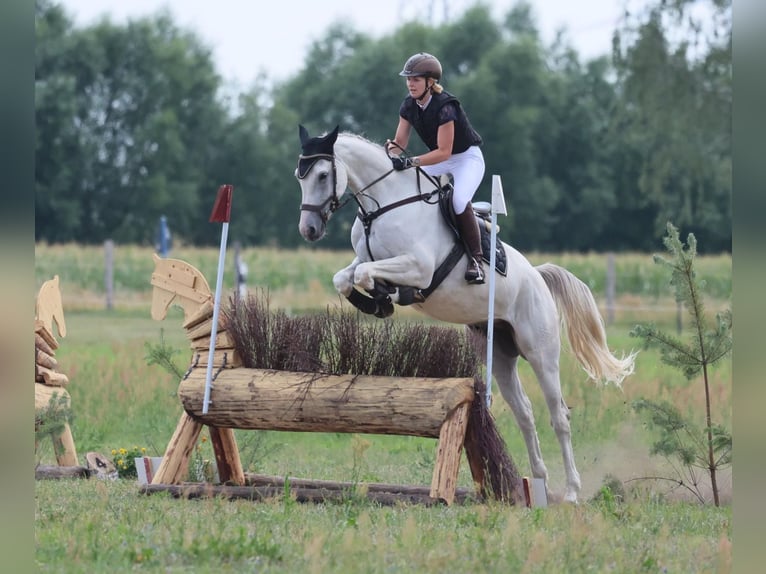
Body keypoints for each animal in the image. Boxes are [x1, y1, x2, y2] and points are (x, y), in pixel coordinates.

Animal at [295, 125, 637, 503]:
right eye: (300, 175)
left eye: (322, 175)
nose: (309, 230)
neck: (382, 206)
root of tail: (538, 277)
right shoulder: (364, 259)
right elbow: (346, 277)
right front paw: (377, 301)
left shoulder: (419, 267)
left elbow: (364, 275)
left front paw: (389, 296)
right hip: (499, 353)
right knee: (525, 413)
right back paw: (540, 486)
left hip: (540, 351)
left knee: (558, 416)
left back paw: (572, 492)